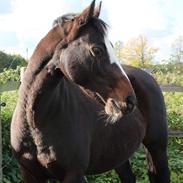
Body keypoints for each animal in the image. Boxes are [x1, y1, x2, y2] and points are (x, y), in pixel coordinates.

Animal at [10, 0, 169, 182]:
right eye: (97, 49)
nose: (130, 101)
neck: (35, 122)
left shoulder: (74, 174)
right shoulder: (29, 173)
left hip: (157, 148)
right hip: (118, 153)